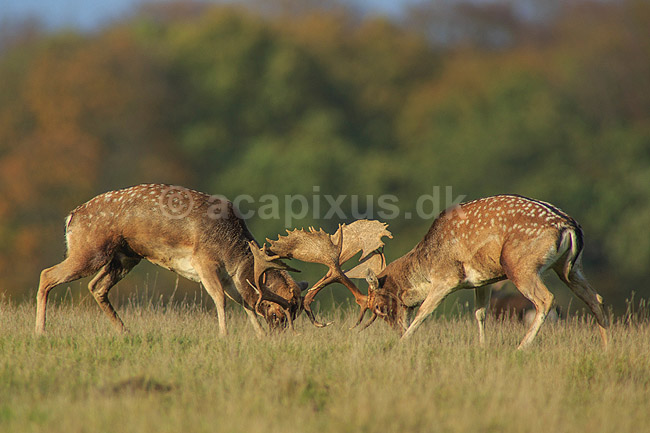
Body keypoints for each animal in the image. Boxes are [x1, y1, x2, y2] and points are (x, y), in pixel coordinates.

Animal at [35, 184, 308, 337]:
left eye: (295, 316)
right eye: (277, 314)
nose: (281, 337)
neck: (231, 250)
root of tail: (71, 217)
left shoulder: (230, 279)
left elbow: (246, 305)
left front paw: (259, 336)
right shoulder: (203, 261)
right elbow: (220, 300)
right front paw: (224, 336)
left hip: (126, 257)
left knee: (96, 286)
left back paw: (126, 332)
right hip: (89, 250)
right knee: (47, 274)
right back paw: (40, 331)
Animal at [275, 195, 609, 350]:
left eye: (379, 307)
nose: (395, 330)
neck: (427, 261)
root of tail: (569, 225)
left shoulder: (447, 278)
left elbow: (423, 312)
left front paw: (403, 343)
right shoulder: (483, 280)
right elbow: (480, 313)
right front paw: (482, 347)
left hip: (521, 265)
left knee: (546, 299)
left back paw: (521, 347)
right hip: (569, 267)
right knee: (596, 299)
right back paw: (606, 349)